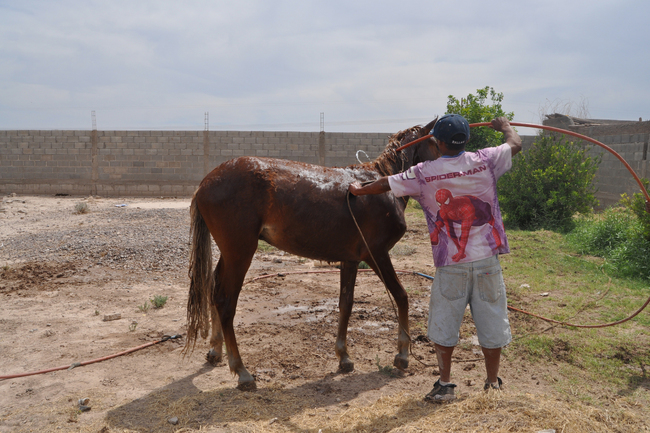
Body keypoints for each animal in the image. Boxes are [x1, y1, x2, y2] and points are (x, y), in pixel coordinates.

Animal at [185, 118, 439, 390]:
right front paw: (402, 355)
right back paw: (242, 372)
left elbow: (346, 304)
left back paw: (215, 350)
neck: (381, 187)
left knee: (213, 289)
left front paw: (344, 357)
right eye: (435, 143)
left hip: (231, 253)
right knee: (225, 302)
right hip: (240, 253)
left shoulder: (350, 260)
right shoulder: (377, 254)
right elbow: (401, 296)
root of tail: (206, 182)